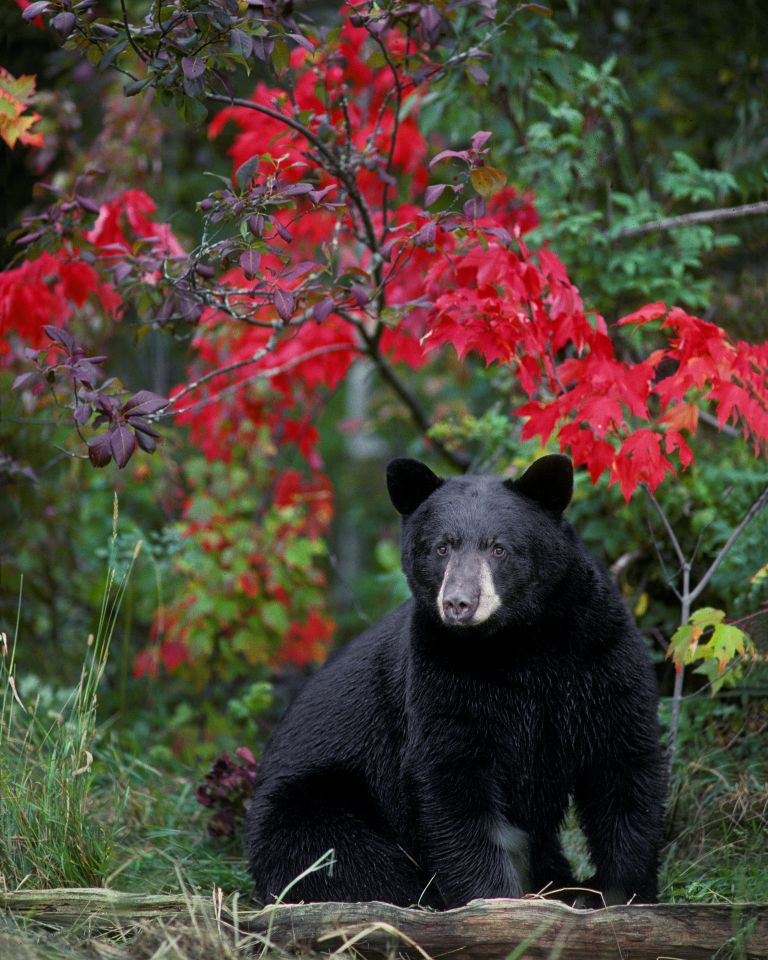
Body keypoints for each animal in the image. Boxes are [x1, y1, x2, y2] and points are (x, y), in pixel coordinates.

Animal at [244, 454, 666, 908]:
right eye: (441, 547)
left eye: (498, 547)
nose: (459, 603)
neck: (519, 643)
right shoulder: (440, 675)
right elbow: (453, 779)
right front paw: (494, 898)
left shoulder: (599, 654)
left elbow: (623, 760)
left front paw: (622, 890)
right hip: (308, 807)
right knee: (344, 859)